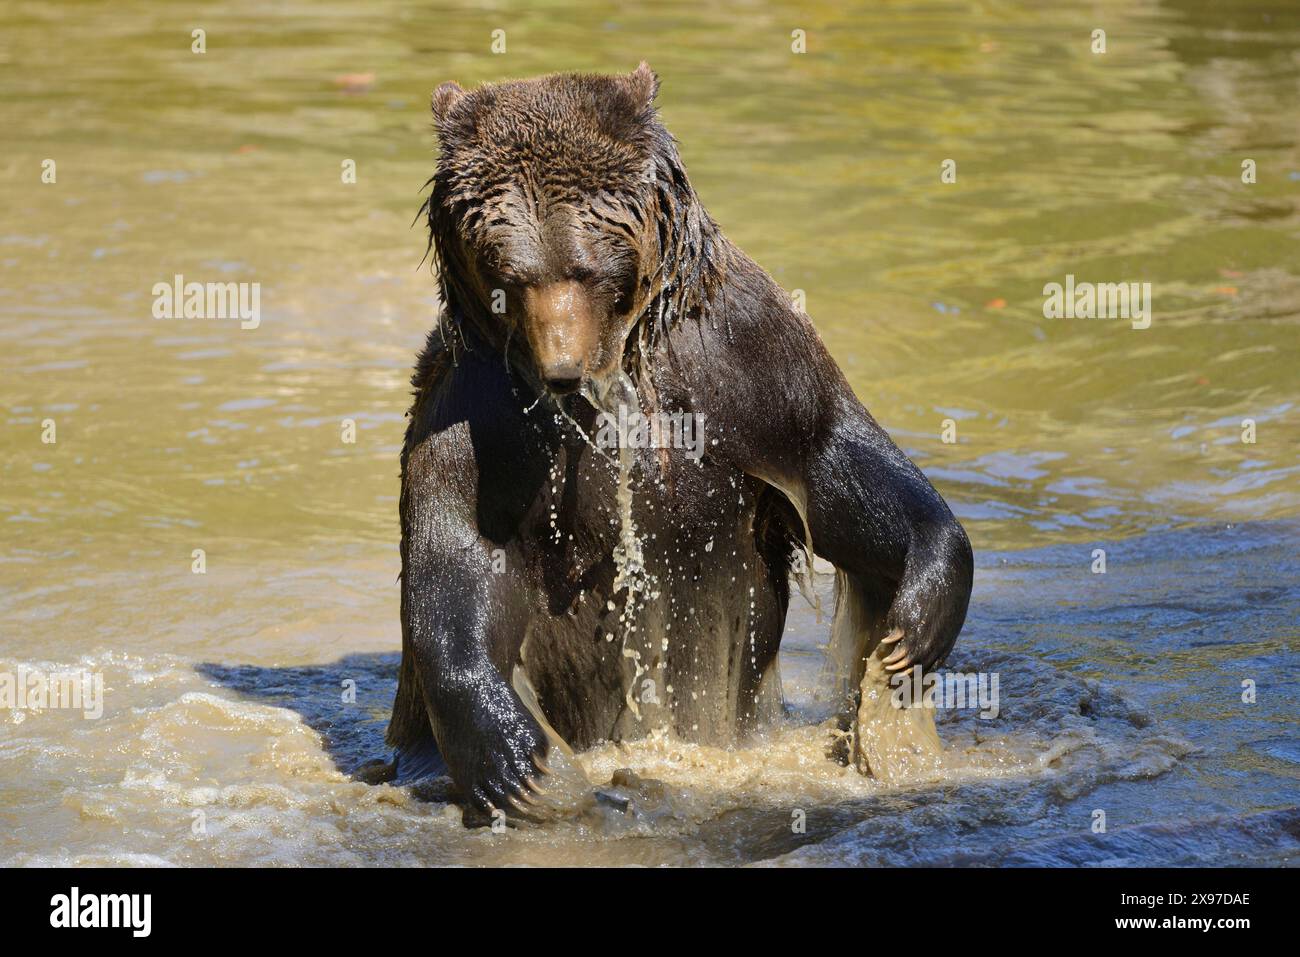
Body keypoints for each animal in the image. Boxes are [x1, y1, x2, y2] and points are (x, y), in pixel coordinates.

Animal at [386, 62, 973, 822]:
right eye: (508, 274)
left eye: (583, 268)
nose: (561, 367)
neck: (616, 368)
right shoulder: (479, 414)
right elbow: (461, 555)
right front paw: (524, 765)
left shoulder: (745, 359)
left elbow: (843, 471)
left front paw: (912, 633)